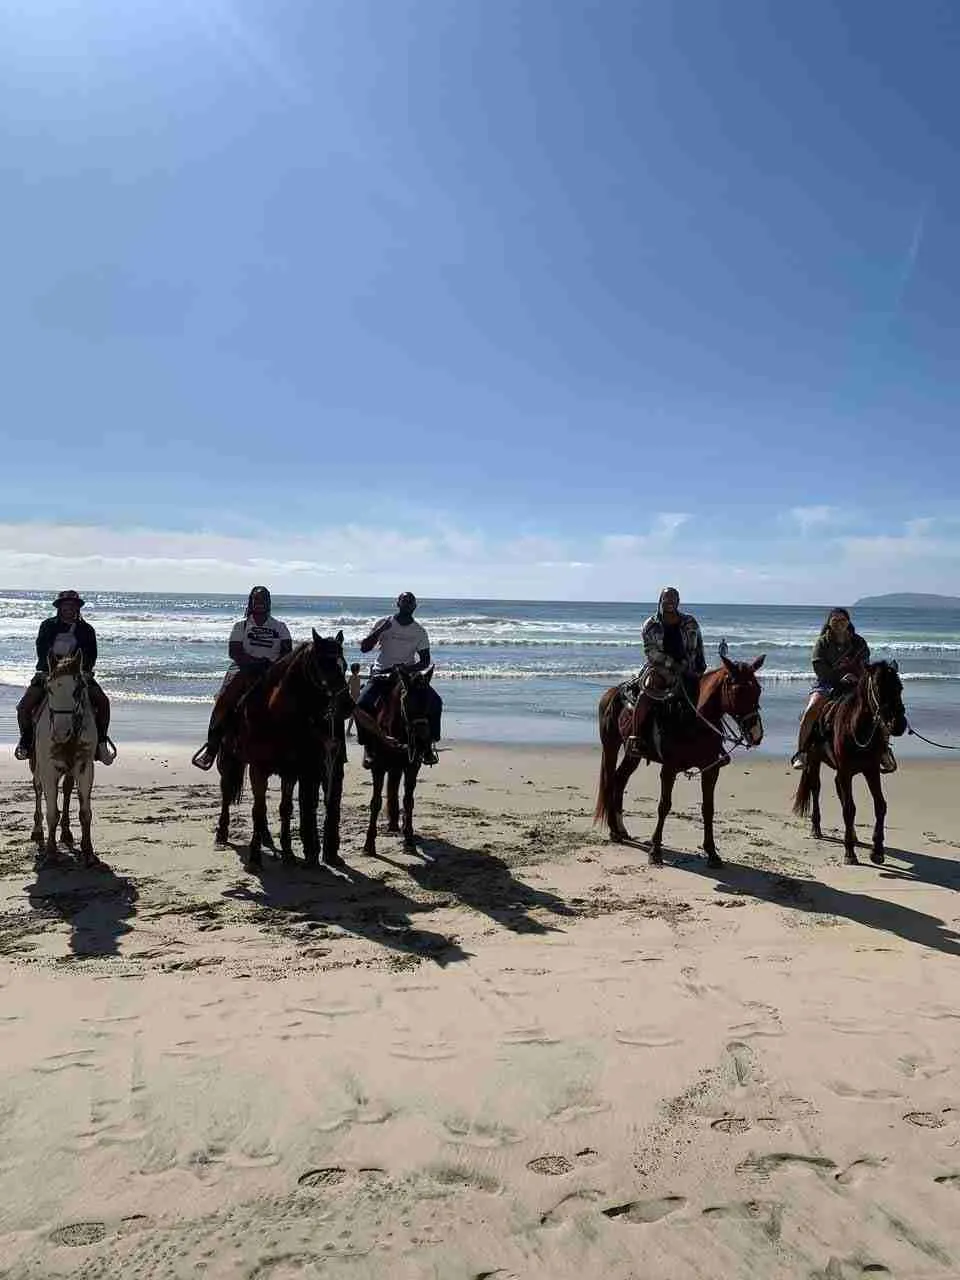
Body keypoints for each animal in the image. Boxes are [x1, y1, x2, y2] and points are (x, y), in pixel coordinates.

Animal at [31, 650, 97, 870]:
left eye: (77, 690)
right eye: (49, 689)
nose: (60, 733)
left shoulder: (85, 767)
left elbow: (85, 812)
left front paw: (88, 853)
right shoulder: (48, 769)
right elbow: (52, 812)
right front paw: (51, 854)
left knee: (67, 790)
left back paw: (67, 833)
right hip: (36, 765)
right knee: (37, 789)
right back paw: (37, 831)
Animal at [217, 629, 353, 870]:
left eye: (344, 665)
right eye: (323, 664)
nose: (348, 705)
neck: (276, 716)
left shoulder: (291, 771)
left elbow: (285, 808)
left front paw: (288, 852)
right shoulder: (258, 770)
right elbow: (258, 809)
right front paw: (254, 857)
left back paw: (266, 836)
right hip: (229, 759)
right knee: (226, 792)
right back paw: (223, 833)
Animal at [360, 665, 435, 855]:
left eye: (429, 702)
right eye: (407, 702)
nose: (422, 742)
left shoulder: (412, 766)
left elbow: (408, 802)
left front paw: (409, 840)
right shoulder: (378, 768)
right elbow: (375, 802)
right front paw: (369, 845)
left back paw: (394, 824)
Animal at [593, 650, 768, 870]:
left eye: (758, 690)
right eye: (738, 691)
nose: (756, 735)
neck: (693, 720)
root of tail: (612, 693)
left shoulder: (710, 770)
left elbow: (708, 809)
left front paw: (712, 853)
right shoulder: (669, 769)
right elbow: (664, 806)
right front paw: (655, 851)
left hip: (632, 755)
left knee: (619, 779)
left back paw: (620, 829)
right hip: (611, 745)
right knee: (610, 781)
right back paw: (613, 830)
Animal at [788, 665, 911, 865]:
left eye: (899, 687)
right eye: (877, 687)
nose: (898, 724)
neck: (857, 728)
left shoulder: (871, 770)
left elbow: (880, 805)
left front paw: (877, 851)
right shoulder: (846, 772)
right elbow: (849, 809)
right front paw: (849, 853)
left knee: (839, 792)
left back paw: (852, 835)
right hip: (815, 761)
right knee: (816, 789)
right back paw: (816, 829)